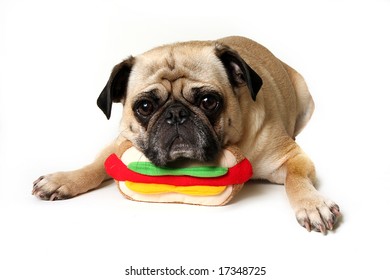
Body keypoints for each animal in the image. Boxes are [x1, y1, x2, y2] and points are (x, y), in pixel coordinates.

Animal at [32, 36, 338, 233]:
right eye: (145, 107)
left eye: (209, 102)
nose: (176, 114)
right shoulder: (121, 141)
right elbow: (96, 165)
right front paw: (65, 180)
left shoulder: (291, 157)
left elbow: (295, 179)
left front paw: (311, 204)